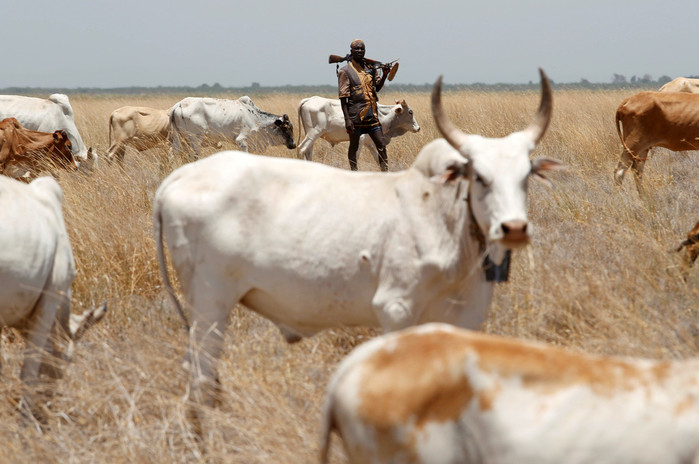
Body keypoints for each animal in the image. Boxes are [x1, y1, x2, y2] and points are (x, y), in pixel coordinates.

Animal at [168, 95, 296, 159]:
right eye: (286, 127)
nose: (293, 145)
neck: (256, 119)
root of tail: (178, 105)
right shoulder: (241, 141)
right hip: (195, 139)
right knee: (193, 156)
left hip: (179, 139)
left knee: (173, 154)